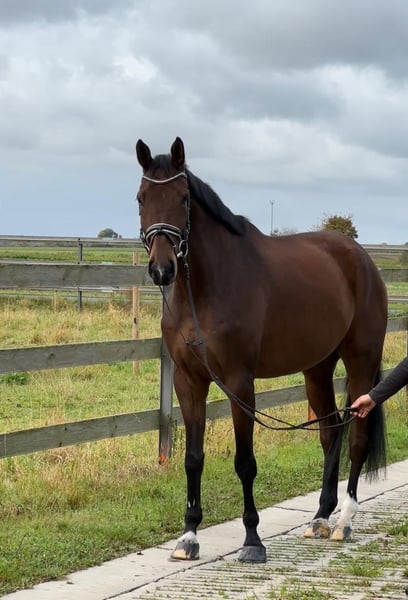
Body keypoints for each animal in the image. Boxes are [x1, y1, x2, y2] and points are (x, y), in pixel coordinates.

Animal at [135, 137, 388, 563]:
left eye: (183, 198)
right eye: (141, 197)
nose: (162, 269)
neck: (205, 290)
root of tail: (362, 259)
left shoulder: (240, 382)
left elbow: (245, 462)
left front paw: (252, 539)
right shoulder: (189, 382)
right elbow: (193, 459)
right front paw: (188, 537)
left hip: (361, 362)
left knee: (356, 436)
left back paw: (344, 521)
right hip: (317, 369)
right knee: (330, 432)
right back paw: (320, 517)